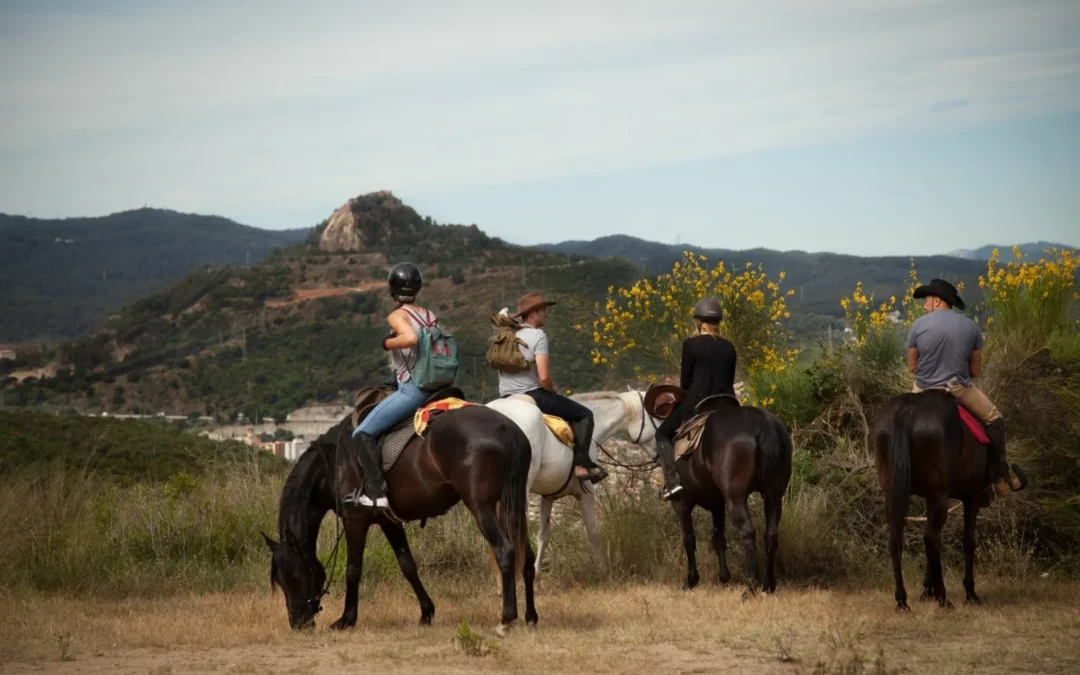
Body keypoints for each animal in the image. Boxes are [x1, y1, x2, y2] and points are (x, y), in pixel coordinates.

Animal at [265, 397, 535, 630]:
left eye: (295, 577)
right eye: (279, 581)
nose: (298, 623)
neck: (332, 465)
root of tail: (506, 428)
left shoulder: (354, 520)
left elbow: (353, 569)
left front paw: (346, 619)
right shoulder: (389, 521)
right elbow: (407, 565)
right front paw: (426, 612)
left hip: (482, 507)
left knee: (505, 550)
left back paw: (508, 615)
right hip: (511, 505)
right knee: (527, 555)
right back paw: (531, 615)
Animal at [488, 388, 656, 574]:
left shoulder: (548, 496)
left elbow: (543, 536)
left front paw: (537, 572)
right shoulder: (586, 492)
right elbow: (592, 532)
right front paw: (601, 570)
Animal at [665, 397, 794, 591]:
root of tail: (761, 421)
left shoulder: (681, 503)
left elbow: (689, 539)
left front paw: (691, 580)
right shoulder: (717, 504)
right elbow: (718, 539)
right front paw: (724, 578)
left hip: (736, 498)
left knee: (748, 532)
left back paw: (751, 586)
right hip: (773, 496)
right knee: (771, 534)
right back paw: (768, 584)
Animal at [872, 386, 1023, 609]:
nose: (988, 497)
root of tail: (905, 411)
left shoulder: (929, 496)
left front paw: (927, 590)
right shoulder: (971, 497)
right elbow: (969, 541)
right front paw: (970, 592)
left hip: (894, 491)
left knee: (898, 537)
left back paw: (903, 600)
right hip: (941, 494)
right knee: (932, 538)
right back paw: (944, 598)